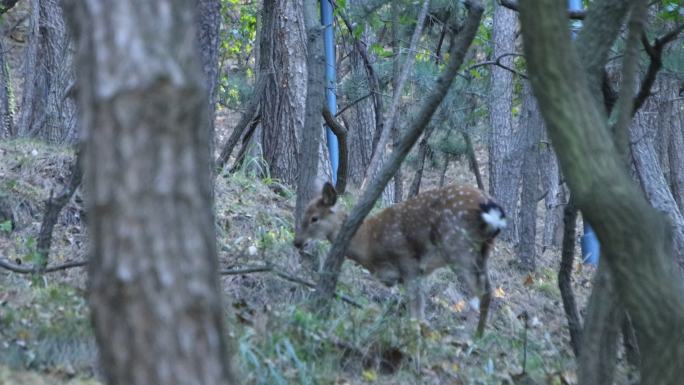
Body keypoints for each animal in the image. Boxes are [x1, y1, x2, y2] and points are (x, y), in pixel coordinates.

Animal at [292, 182, 504, 318]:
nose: (297, 242)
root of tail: (492, 211)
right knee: (488, 292)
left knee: (478, 294)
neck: (369, 243)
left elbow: (416, 307)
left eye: (314, 218)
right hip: (483, 251)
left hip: (458, 247)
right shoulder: (419, 272)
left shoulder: (407, 260)